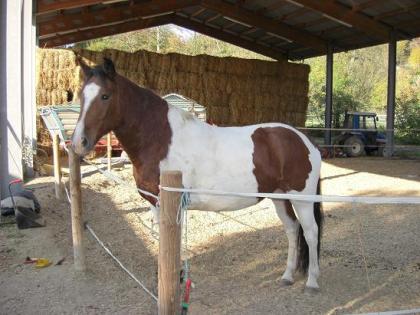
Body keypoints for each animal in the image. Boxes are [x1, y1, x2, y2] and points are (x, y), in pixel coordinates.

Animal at [72, 58, 324, 292]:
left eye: (105, 96)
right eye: (81, 96)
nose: (78, 143)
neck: (160, 138)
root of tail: (304, 141)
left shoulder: (173, 205)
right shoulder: (155, 204)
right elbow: (161, 243)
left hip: (301, 198)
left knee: (310, 232)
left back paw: (312, 281)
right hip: (280, 197)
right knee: (292, 229)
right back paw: (287, 276)